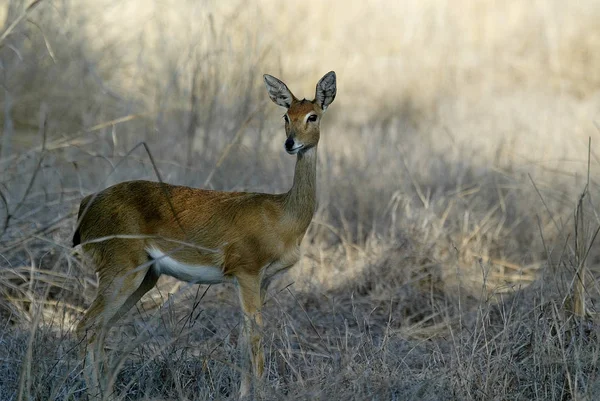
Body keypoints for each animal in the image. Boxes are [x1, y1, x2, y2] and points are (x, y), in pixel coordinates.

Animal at [72, 71, 336, 396]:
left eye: (313, 115)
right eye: (286, 116)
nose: (290, 143)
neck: (283, 215)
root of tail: (87, 204)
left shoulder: (262, 281)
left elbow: (244, 337)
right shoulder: (246, 274)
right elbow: (255, 336)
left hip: (145, 278)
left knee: (102, 329)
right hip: (121, 271)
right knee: (87, 325)